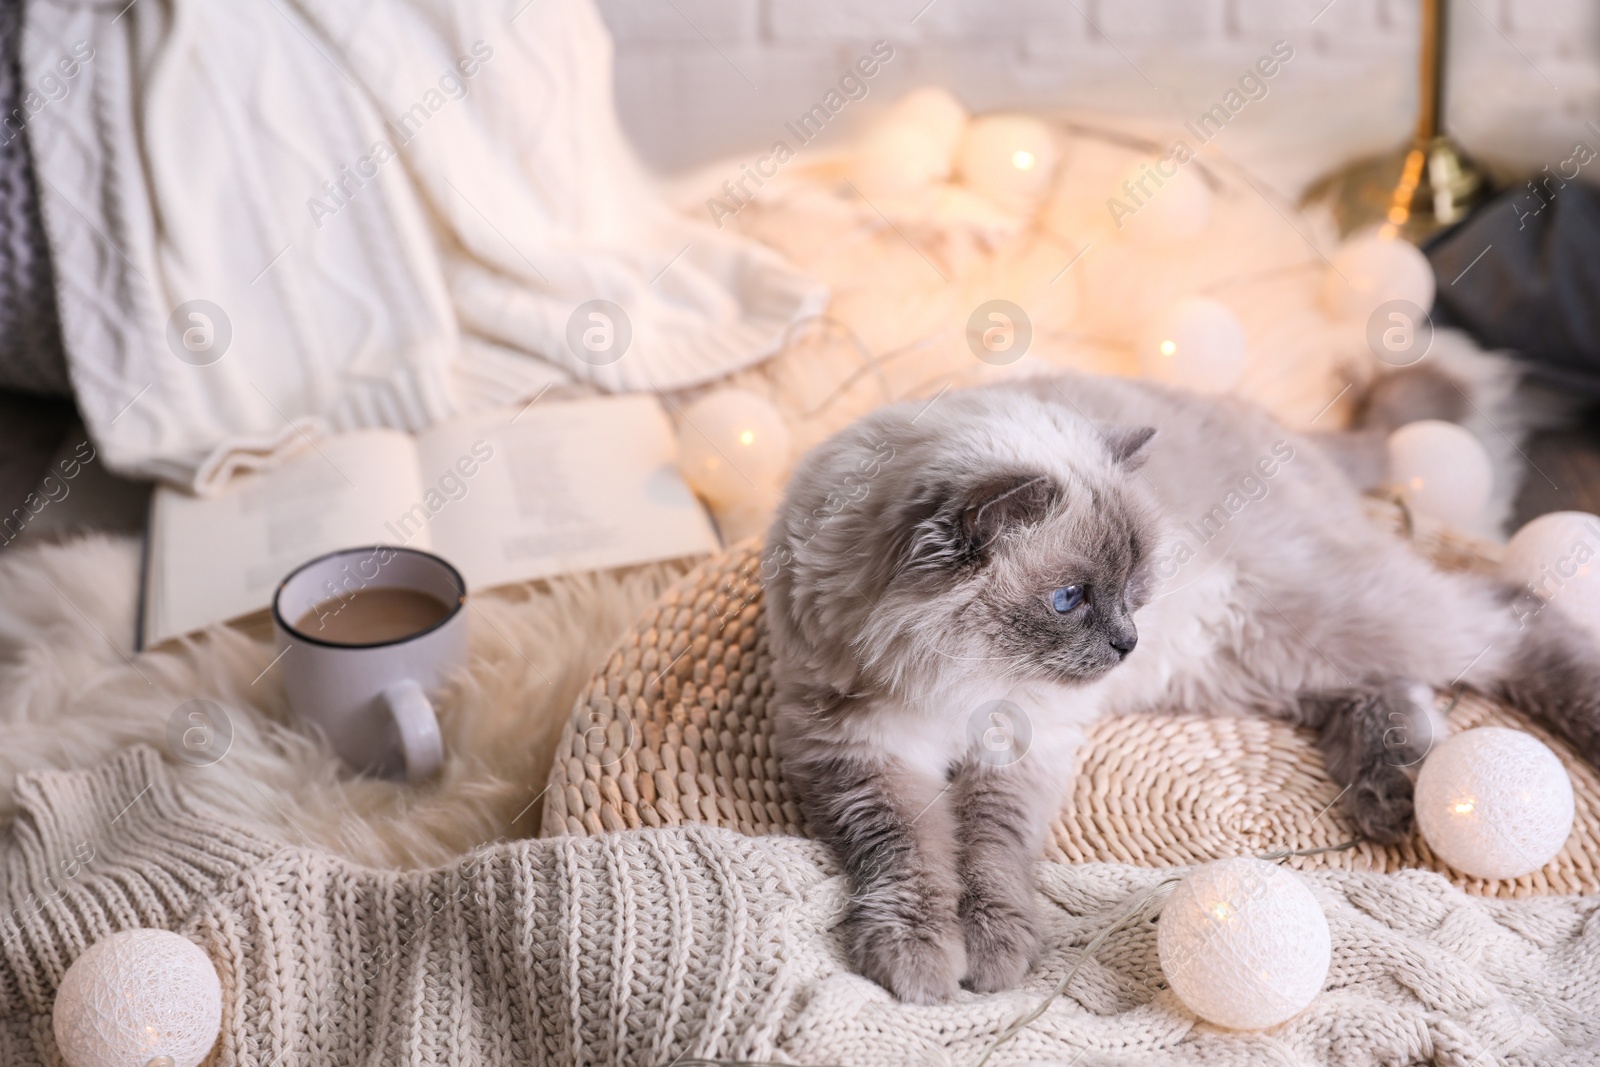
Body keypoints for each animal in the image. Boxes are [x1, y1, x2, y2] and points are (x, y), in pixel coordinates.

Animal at [761, 371, 1600, 1004]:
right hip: (1249, 661)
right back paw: (1391, 784)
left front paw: (993, 950)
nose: (1127, 641)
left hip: (1296, 618)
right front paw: (920, 956)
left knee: (1506, 613)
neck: (960, 683)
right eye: (1070, 598)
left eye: (1135, 584)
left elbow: (991, 852)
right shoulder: (866, 756)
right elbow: (907, 855)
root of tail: (1281, 422)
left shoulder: (1020, 746)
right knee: (1396, 680)